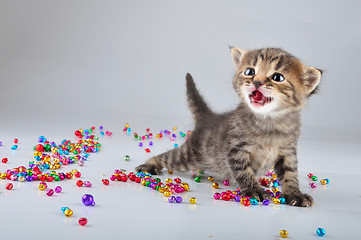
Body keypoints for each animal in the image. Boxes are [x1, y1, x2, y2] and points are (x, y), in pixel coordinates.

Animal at [135, 47, 320, 206]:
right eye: (250, 72)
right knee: (167, 157)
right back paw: (150, 164)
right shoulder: (236, 150)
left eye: (278, 77)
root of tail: (207, 118)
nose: (257, 82)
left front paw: (294, 194)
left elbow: (290, 174)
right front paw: (253, 190)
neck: (270, 121)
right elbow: (243, 171)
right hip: (190, 156)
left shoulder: (288, 152)